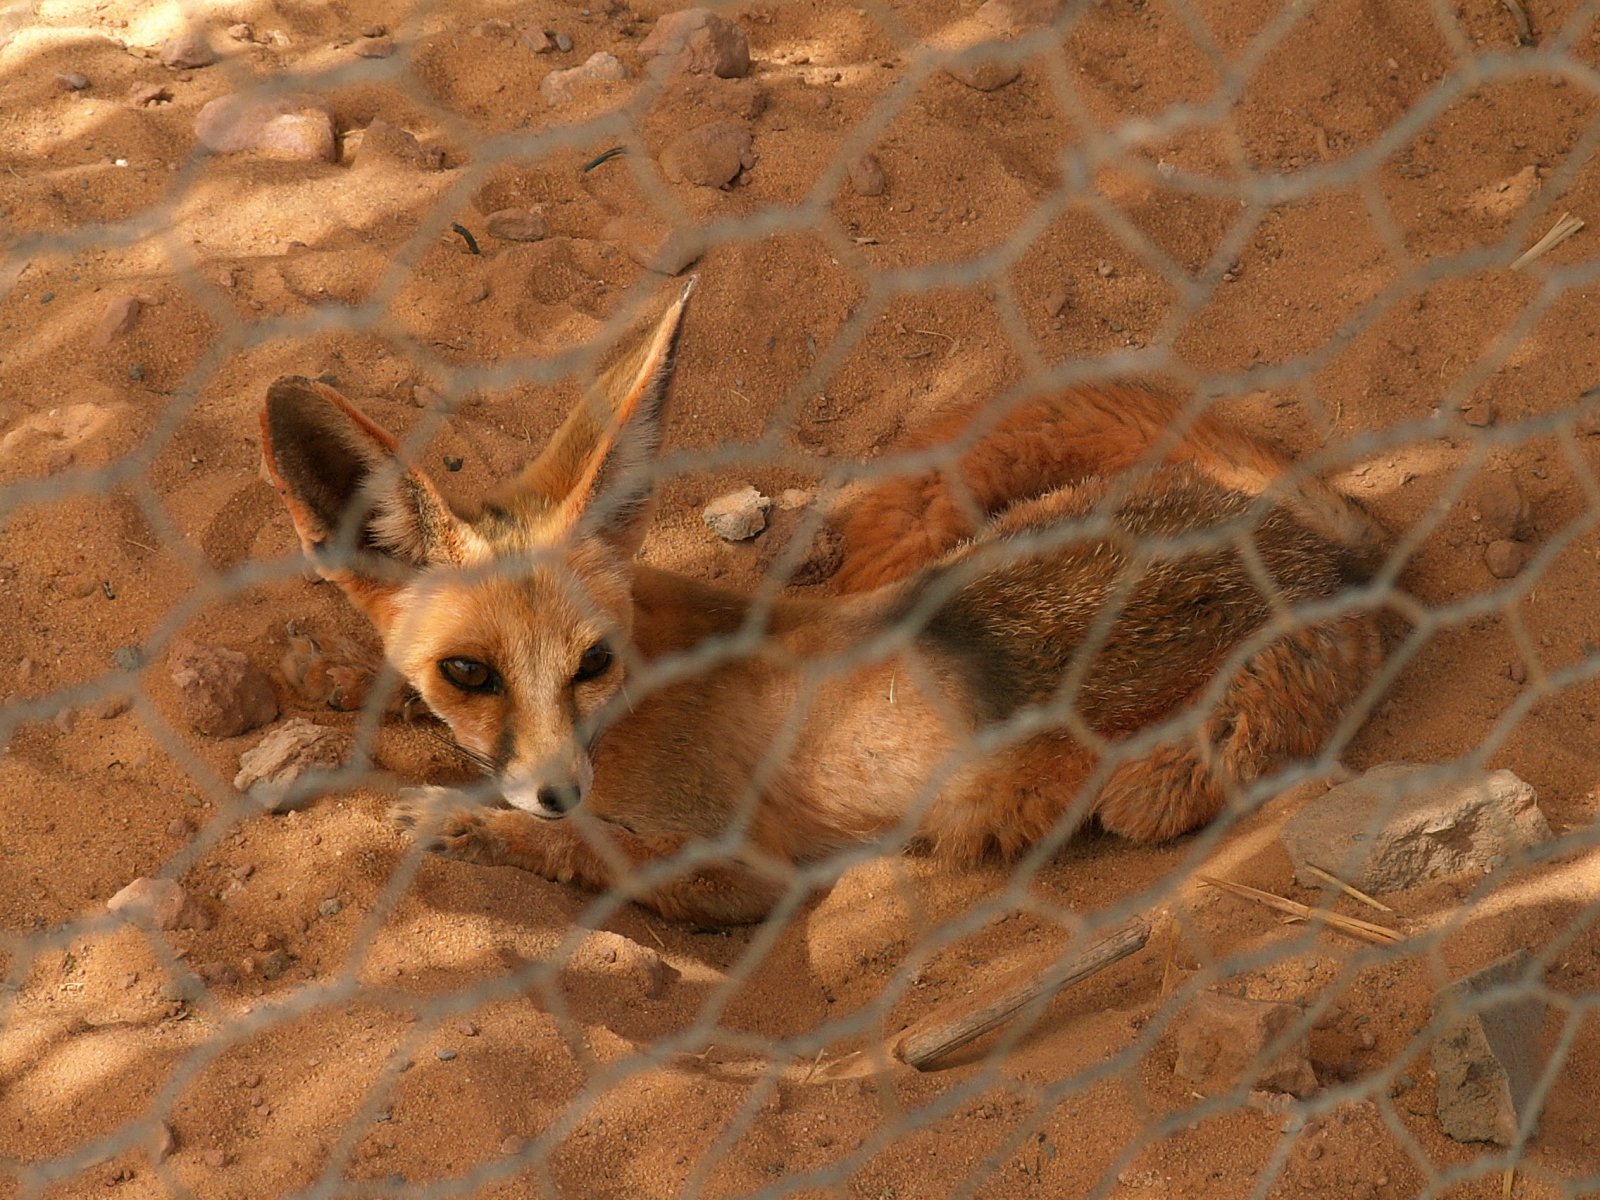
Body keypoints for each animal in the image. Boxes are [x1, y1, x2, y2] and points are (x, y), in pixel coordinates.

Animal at [260, 279, 1386, 925]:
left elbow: (593, 853)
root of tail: (1324, 543)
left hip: (1135, 765)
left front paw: (466, 824)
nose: (557, 789)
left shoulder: (743, 872)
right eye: (468, 672)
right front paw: (331, 698)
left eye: (593, 662)